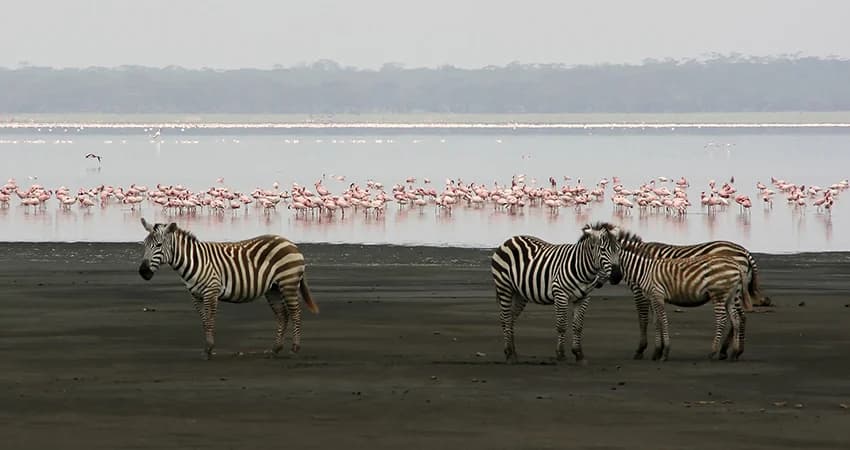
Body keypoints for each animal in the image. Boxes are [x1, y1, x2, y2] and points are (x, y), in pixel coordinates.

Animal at [138, 218, 319, 359]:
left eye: (159, 245)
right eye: (145, 244)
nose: (143, 272)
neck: (194, 261)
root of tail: (290, 243)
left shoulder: (211, 291)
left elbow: (210, 320)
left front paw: (209, 349)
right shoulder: (196, 296)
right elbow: (204, 321)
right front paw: (207, 348)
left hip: (288, 283)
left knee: (296, 313)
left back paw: (295, 348)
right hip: (273, 289)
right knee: (282, 315)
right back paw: (276, 349)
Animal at [491, 222, 623, 364]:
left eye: (619, 249)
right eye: (603, 250)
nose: (617, 276)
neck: (583, 269)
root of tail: (510, 239)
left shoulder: (584, 298)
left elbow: (578, 326)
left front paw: (578, 354)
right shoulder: (560, 294)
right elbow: (562, 325)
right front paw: (560, 354)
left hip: (520, 294)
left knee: (510, 319)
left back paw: (513, 352)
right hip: (504, 287)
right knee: (506, 318)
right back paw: (509, 353)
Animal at [616, 234, 766, 360]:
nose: (613, 279)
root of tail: (745, 251)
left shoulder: (639, 292)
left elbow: (643, 319)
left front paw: (641, 349)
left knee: (739, 317)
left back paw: (727, 350)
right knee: (740, 317)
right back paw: (730, 351)